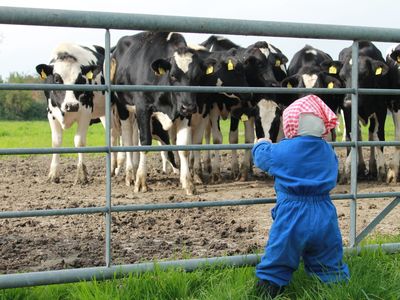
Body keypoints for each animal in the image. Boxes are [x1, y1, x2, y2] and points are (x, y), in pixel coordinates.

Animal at [35, 42, 111, 183]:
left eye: (80, 80)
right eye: (57, 79)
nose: (72, 105)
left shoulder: (85, 112)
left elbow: (79, 142)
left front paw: (81, 175)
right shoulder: (51, 114)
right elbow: (56, 141)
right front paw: (53, 174)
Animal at [110, 32, 202, 195]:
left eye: (197, 76)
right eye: (173, 75)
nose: (189, 106)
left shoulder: (184, 114)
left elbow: (184, 146)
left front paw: (188, 183)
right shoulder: (142, 107)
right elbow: (145, 142)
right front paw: (141, 181)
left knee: (134, 138)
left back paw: (134, 168)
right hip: (123, 108)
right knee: (127, 139)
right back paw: (130, 174)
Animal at [338, 41, 390, 183]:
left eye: (364, 74)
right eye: (342, 77)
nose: (348, 102)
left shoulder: (381, 110)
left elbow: (379, 136)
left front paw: (381, 169)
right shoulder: (347, 112)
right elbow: (351, 136)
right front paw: (349, 169)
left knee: (371, 134)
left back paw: (372, 168)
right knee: (359, 134)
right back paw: (360, 168)